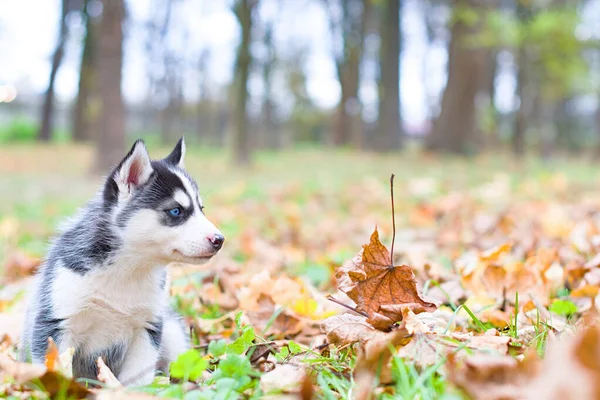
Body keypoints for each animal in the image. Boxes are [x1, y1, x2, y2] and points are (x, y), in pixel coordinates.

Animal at [19, 139, 225, 386]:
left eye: (201, 209)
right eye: (176, 211)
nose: (219, 240)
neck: (127, 270)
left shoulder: (148, 328)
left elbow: (138, 380)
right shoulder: (55, 324)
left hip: (171, 330)